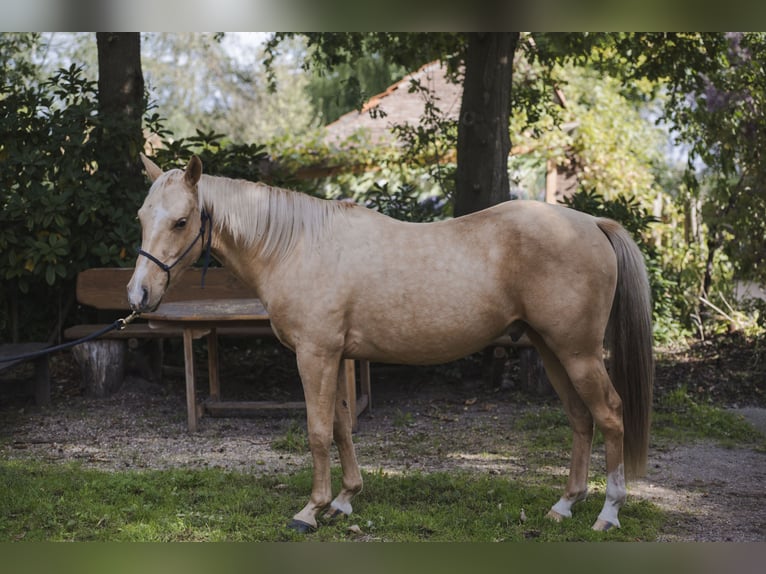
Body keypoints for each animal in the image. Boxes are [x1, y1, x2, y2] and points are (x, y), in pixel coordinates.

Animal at [127, 154, 654, 533]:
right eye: (141, 216)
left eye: (180, 221)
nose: (139, 295)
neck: (298, 245)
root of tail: (593, 223)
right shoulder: (336, 357)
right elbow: (341, 427)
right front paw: (343, 501)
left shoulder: (315, 355)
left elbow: (317, 431)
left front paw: (310, 511)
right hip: (551, 349)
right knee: (580, 419)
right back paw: (564, 506)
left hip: (578, 353)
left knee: (610, 415)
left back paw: (608, 513)